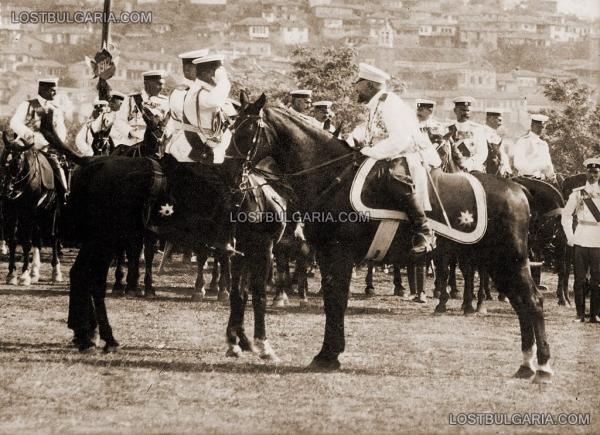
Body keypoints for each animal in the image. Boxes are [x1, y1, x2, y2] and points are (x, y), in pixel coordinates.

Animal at [230, 96, 552, 384]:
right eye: (231, 127)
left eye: (247, 131)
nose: (233, 177)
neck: (332, 177)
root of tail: (518, 190)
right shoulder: (324, 256)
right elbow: (332, 301)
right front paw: (328, 354)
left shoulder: (339, 256)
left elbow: (336, 301)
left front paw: (328, 355)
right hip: (499, 265)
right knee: (521, 303)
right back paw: (526, 365)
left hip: (511, 261)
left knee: (533, 301)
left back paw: (543, 368)